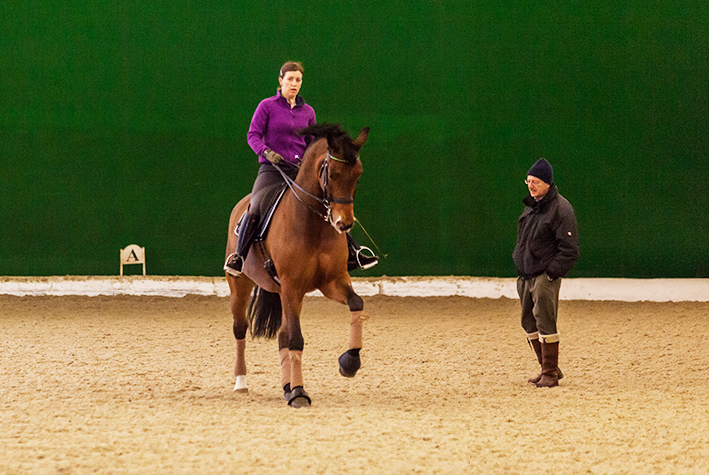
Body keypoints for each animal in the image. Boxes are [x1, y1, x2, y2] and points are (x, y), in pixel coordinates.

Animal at [224, 123, 370, 410]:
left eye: (358, 176)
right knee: (241, 329)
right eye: (333, 174)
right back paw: (242, 383)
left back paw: (286, 387)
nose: (344, 224)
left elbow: (356, 303)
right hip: (242, 286)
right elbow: (296, 339)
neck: (312, 224)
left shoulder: (332, 282)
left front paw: (349, 362)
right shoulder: (291, 286)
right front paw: (300, 393)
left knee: (281, 335)